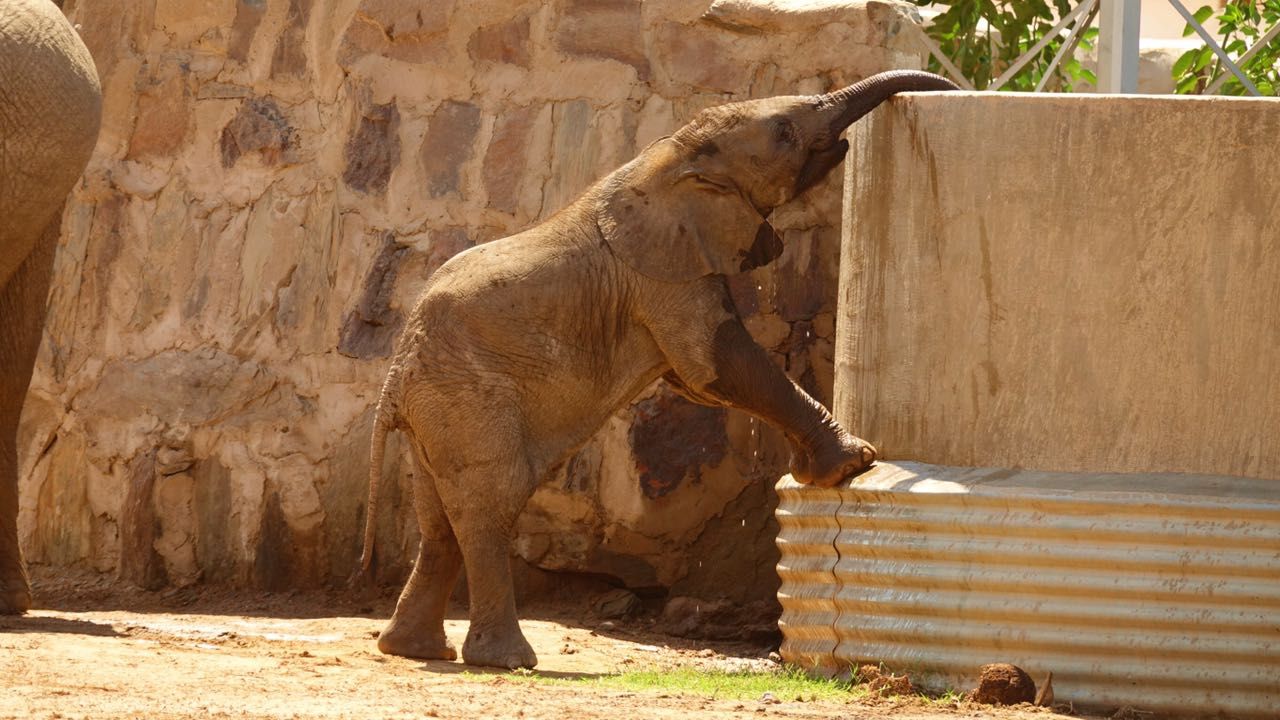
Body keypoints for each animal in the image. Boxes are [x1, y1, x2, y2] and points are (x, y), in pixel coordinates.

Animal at [358, 70, 958, 669]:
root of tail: (393, 383)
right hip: (468, 400)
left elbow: (699, 379)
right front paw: (854, 462)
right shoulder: (663, 277)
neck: (671, 156)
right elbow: (717, 364)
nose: (948, 86)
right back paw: (508, 659)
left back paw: (414, 648)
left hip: (435, 410)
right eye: (784, 131)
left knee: (440, 521)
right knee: (488, 508)